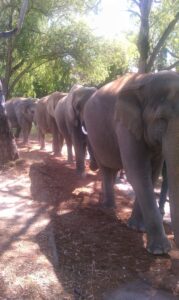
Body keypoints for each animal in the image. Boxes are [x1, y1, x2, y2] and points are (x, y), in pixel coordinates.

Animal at [83, 71, 179, 254]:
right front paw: (159, 251)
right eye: (161, 119)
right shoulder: (124, 124)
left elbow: (152, 174)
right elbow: (137, 171)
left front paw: (137, 228)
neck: (148, 78)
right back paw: (108, 207)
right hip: (94, 136)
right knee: (106, 169)